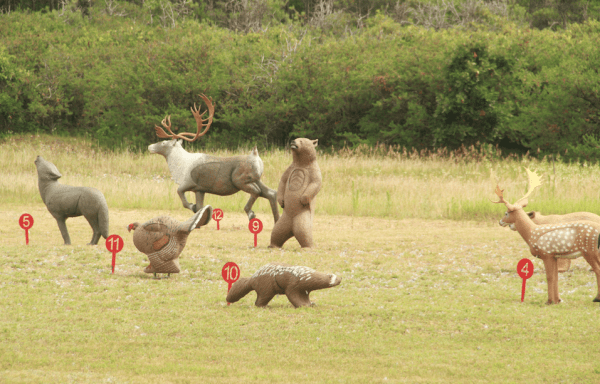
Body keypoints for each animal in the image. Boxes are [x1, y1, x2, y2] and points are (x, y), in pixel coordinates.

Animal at [150, 94, 282, 224]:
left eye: (163, 142)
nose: (150, 146)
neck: (180, 166)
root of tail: (255, 154)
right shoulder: (200, 189)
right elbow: (200, 207)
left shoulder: (189, 182)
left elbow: (181, 194)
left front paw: (192, 206)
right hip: (256, 179)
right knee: (271, 193)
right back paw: (276, 221)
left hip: (240, 179)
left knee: (257, 191)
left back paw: (250, 213)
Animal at [492, 168, 600, 306]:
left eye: (506, 213)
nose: (500, 222)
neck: (531, 232)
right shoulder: (554, 256)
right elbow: (555, 277)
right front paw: (557, 300)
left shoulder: (546, 254)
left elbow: (549, 276)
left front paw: (549, 301)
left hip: (590, 250)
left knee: (597, 270)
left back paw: (596, 298)